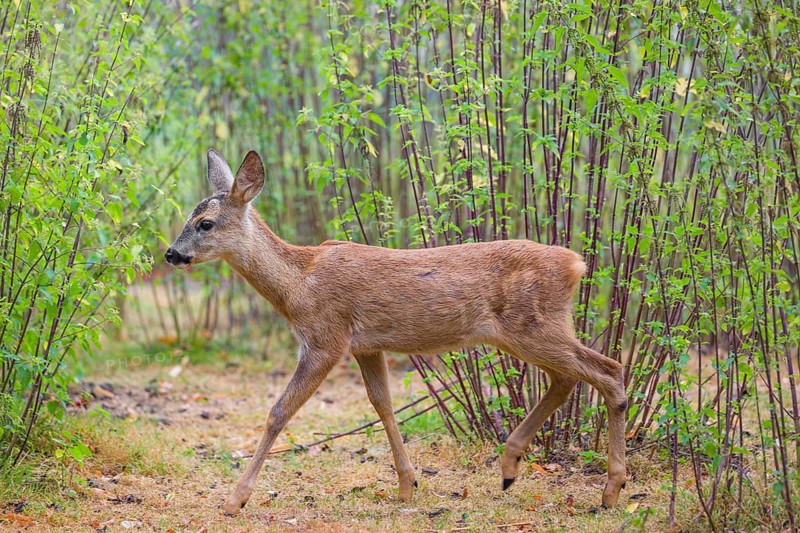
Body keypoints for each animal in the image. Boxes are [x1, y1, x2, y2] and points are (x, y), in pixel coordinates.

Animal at [165, 149, 628, 516]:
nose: (171, 254)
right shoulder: (366, 346)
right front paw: (408, 485)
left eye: (205, 223)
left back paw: (610, 490)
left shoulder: (326, 338)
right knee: (567, 378)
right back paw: (511, 468)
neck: (298, 283)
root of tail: (576, 264)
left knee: (608, 370)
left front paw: (234, 499)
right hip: (533, 328)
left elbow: (279, 412)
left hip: (531, 326)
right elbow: (382, 405)